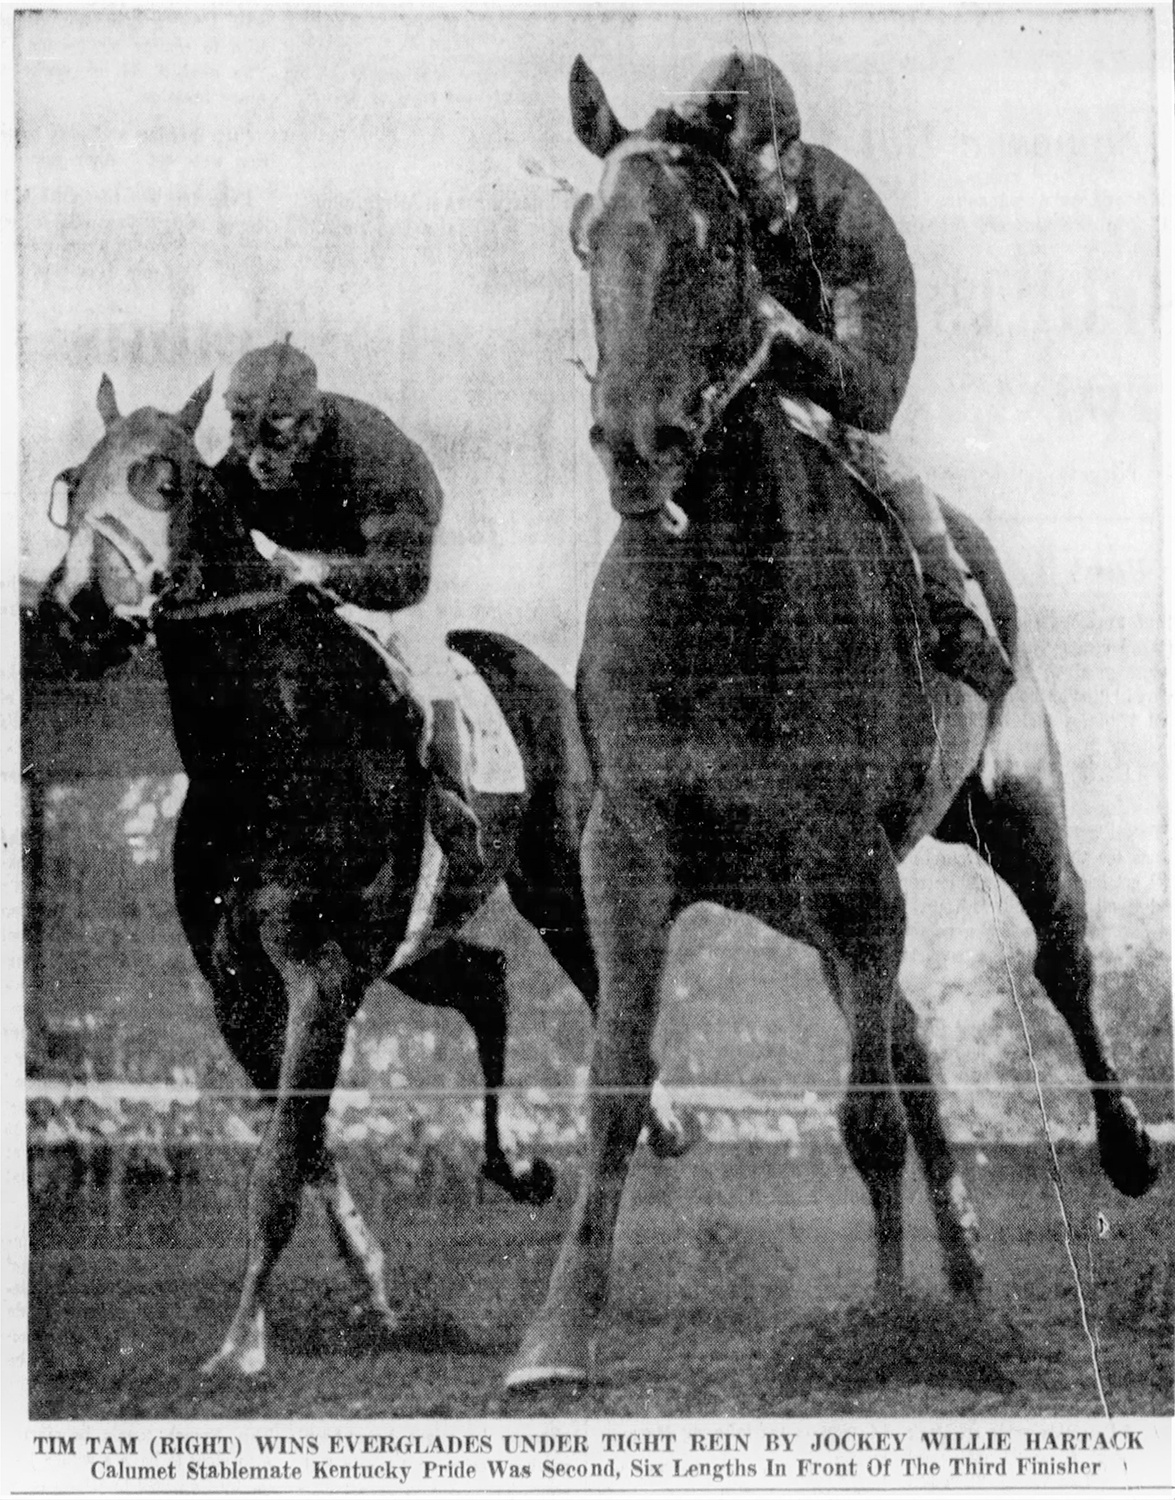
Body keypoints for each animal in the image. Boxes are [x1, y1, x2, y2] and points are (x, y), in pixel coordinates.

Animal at [39, 372, 690, 1374]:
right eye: (75, 483)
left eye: (165, 480)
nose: (74, 610)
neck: (265, 755)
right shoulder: (240, 986)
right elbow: (304, 1145)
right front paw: (373, 1288)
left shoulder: (322, 974)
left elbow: (280, 1161)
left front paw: (240, 1343)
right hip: (410, 948)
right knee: (486, 979)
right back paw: (516, 1166)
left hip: (553, 885)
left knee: (602, 989)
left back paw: (660, 1121)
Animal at [504, 58, 1158, 1392]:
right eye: (585, 236)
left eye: (711, 244)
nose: (634, 441)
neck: (719, 612)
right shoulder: (629, 852)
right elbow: (616, 1083)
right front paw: (557, 1334)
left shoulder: (854, 868)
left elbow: (864, 1115)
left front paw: (881, 1325)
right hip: (817, 906)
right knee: (911, 1049)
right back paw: (965, 1289)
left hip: (1009, 814)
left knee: (1058, 957)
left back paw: (1114, 1155)